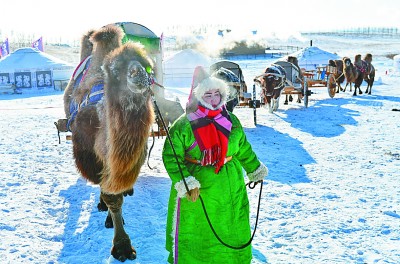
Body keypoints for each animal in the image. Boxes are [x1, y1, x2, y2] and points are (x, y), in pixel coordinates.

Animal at [63, 25, 155, 262]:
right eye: (117, 69)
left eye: (146, 66)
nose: (138, 74)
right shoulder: (90, 157)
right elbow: (110, 196)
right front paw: (121, 246)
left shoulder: (134, 155)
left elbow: (117, 193)